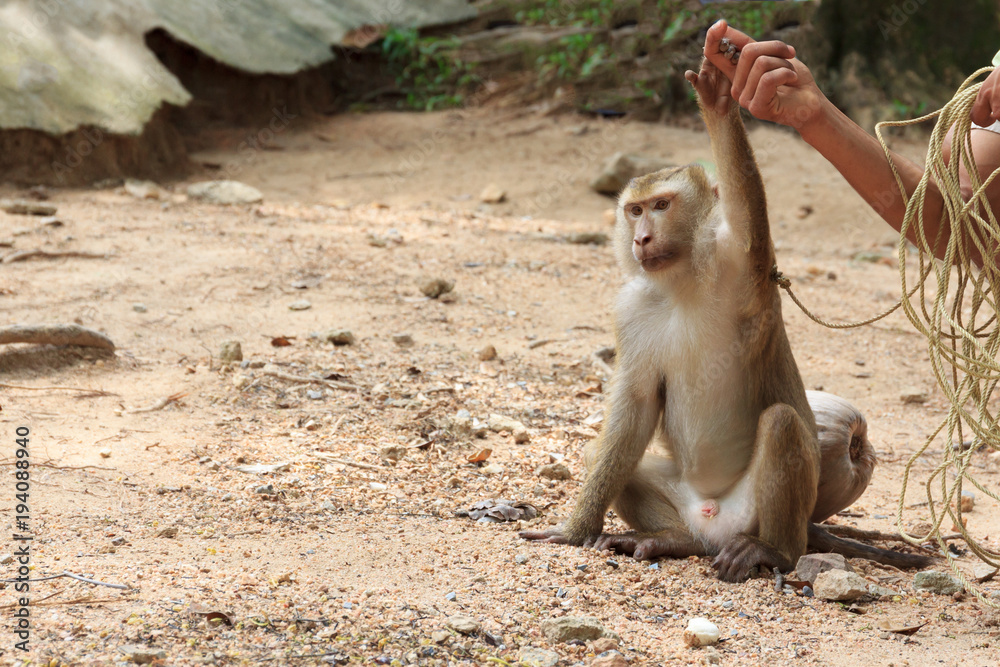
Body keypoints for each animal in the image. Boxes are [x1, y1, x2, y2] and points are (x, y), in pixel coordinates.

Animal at [521, 58, 933, 581]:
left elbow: (747, 217)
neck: (683, 283)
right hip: (692, 508)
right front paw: (576, 531)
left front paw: (720, 102)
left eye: (662, 205)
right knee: (603, 453)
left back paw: (774, 551)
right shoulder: (631, 309)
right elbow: (635, 409)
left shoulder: (738, 262)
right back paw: (674, 540)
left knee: (781, 424)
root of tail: (713, 522)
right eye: (634, 210)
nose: (640, 238)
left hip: (754, 513)